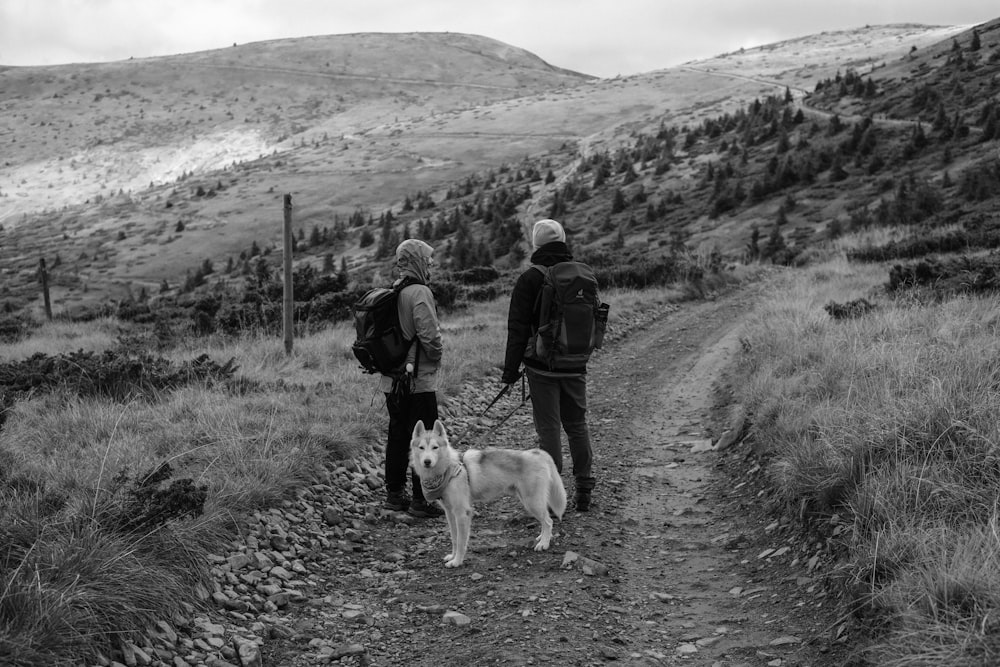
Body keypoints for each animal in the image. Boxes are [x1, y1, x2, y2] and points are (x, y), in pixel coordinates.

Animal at [410, 418, 568, 568]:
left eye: (435, 447)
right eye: (421, 448)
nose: (427, 461)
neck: (448, 469)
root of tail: (537, 453)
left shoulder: (462, 513)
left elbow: (461, 541)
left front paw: (457, 562)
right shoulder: (450, 513)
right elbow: (454, 539)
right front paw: (452, 556)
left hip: (532, 502)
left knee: (548, 521)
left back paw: (544, 543)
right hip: (529, 501)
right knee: (545, 521)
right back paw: (542, 537)